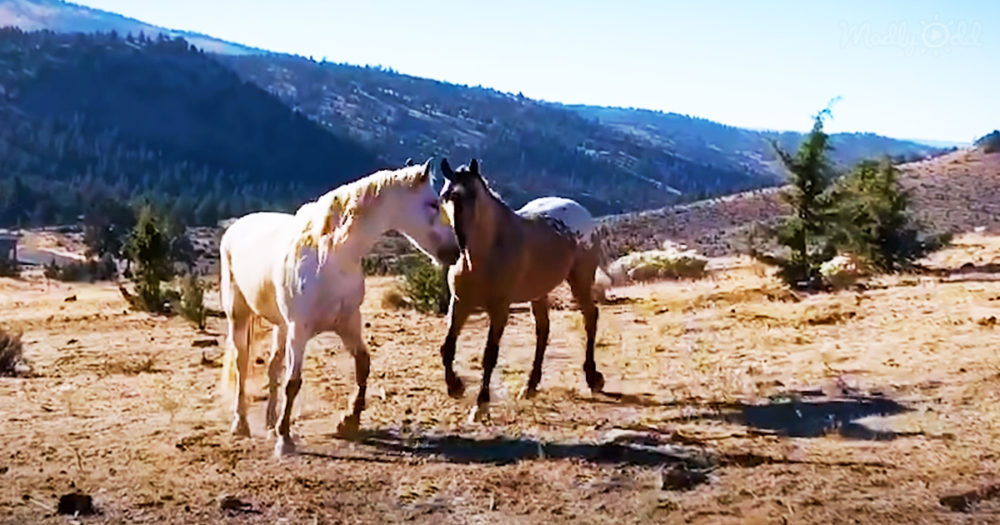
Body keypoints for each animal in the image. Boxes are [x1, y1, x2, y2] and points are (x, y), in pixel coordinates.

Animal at [219, 160, 459, 456]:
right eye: (433, 204)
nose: (455, 252)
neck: (331, 256)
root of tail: (236, 227)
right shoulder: (300, 329)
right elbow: (293, 382)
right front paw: (285, 440)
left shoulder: (348, 322)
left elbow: (363, 364)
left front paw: (349, 421)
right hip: (240, 316)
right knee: (242, 365)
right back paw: (241, 424)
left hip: (281, 326)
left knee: (273, 367)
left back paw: (269, 424)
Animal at [437, 158, 606, 423]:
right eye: (445, 196)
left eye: (472, 196)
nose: (455, 249)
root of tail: (583, 213)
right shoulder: (460, 302)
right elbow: (448, 347)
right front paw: (455, 387)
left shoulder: (500, 308)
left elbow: (489, 355)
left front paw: (480, 405)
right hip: (539, 292)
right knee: (543, 330)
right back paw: (530, 386)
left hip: (579, 281)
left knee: (590, 316)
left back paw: (592, 378)